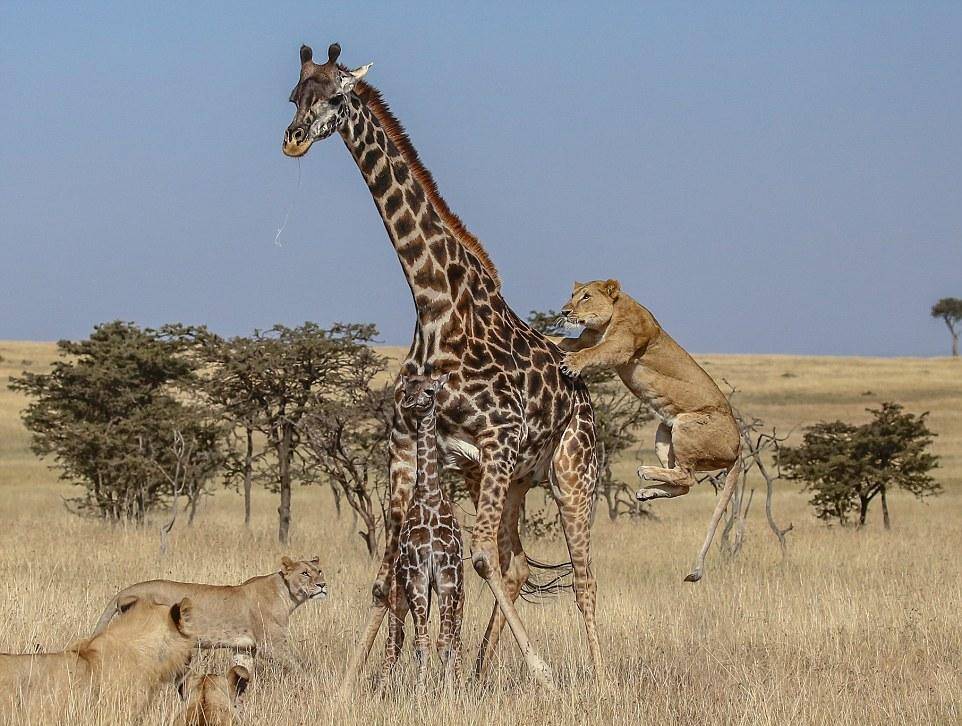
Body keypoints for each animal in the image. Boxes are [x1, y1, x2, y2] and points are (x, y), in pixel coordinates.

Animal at [94, 556, 326, 672]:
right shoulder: (271, 646)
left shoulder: (244, 648)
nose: (323, 585)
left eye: (319, 571)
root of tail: (125, 591)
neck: (287, 595)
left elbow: (242, 672)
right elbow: (299, 667)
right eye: (305, 573)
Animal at [380, 372, 464, 692]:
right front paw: (421, 691)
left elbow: (444, 642)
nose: (409, 403)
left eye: (430, 390)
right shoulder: (416, 575)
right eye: (407, 387)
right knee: (395, 641)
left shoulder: (446, 575)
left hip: (456, 592)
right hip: (401, 595)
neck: (429, 496)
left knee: (455, 637)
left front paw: (449, 691)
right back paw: (383, 688)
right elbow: (422, 642)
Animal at [552, 282, 740, 584]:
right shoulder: (585, 339)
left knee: (687, 475)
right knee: (684, 484)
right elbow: (562, 343)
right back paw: (646, 492)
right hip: (665, 431)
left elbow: (591, 354)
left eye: (586, 296)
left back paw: (646, 472)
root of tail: (740, 445)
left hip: (686, 423)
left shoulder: (620, 347)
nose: (564, 311)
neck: (611, 314)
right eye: (573, 295)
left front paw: (572, 364)